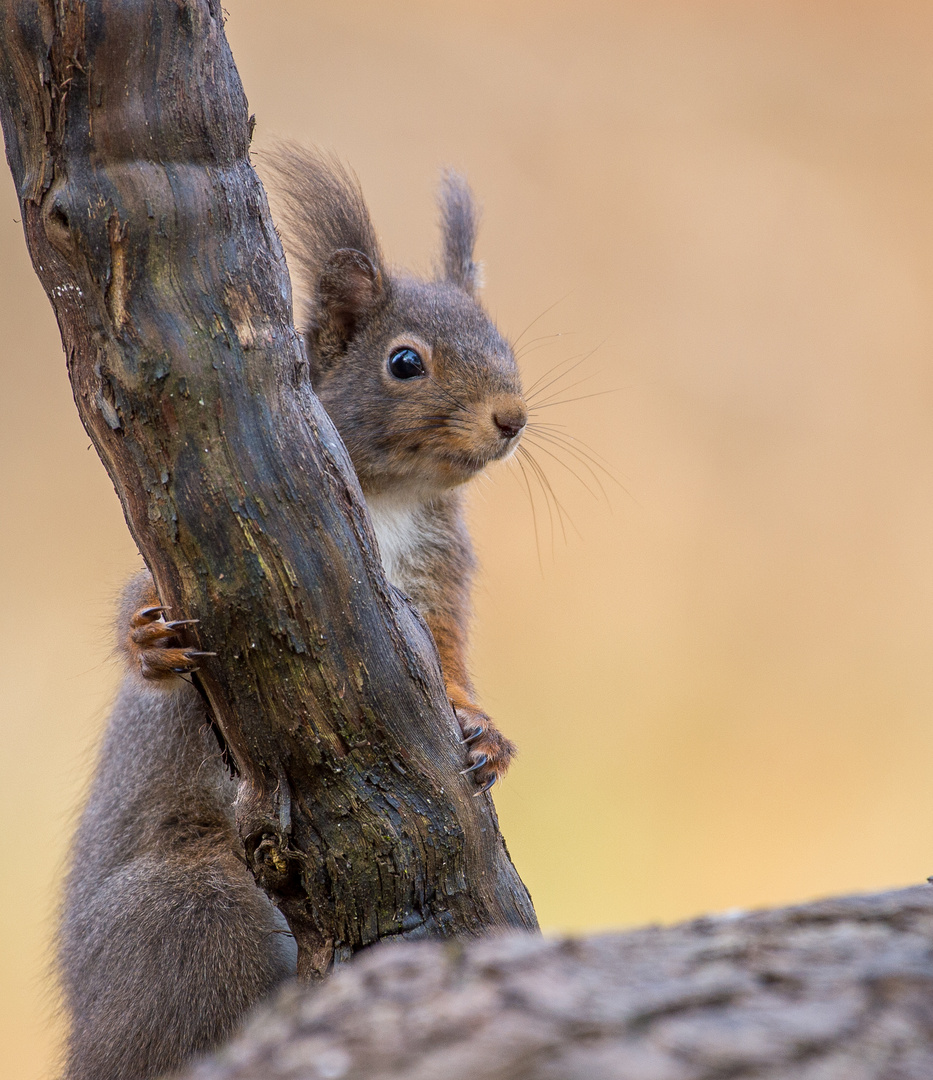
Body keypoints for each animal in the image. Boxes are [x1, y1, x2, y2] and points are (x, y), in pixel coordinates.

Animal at [58, 145, 524, 1080]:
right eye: (405, 363)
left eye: (503, 343)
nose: (512, 418)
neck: (389, 499)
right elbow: (139, 603)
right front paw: (149, 643)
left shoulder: (437, 584)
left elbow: (451, 666)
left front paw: (484, 735)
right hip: (203, 912)